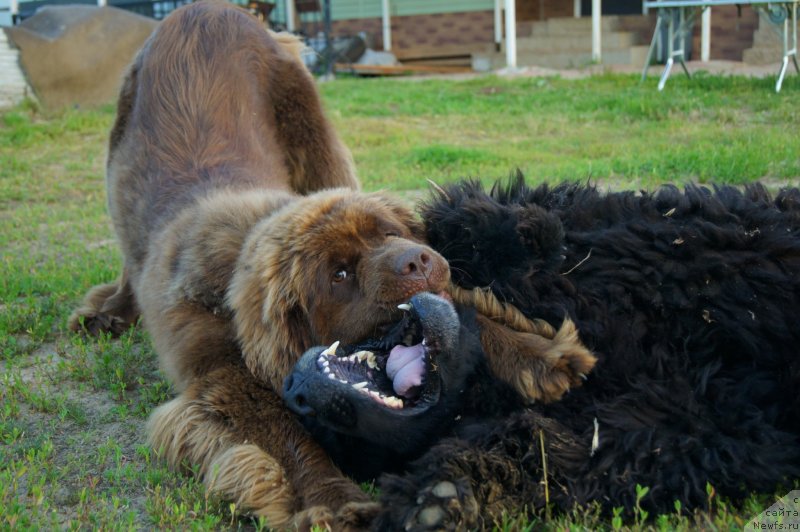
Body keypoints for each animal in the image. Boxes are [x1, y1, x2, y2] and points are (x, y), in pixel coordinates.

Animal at [69, 2, 592, 528]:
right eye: (339, 275)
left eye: (390, 233)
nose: (419, 261)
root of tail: (207, 9)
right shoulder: (223, 378)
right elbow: (286, 438)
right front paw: (334, 501)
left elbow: (469, 314)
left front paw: (539, 355)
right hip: (121, 159)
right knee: (128, 249)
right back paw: (108, 311)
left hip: (317, 145)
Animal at [282, 177, 800, 528]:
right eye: (344, 440)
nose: (296, 394)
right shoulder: (690, 422)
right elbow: (544, 449)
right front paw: (438, 497)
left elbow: (478, 218)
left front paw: (516, 229)